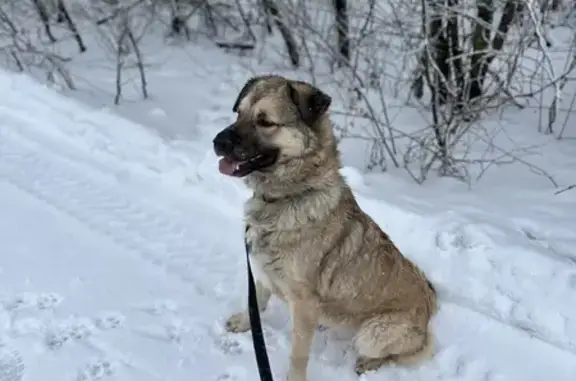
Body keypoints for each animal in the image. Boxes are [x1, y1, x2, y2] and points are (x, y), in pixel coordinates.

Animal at [213, 75, 436, 380]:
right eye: (239, 113)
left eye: (265, 121)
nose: (216, 142)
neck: (292, 195)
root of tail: (429, 305)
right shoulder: (263, 272)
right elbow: (256, 299)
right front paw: (246, 322)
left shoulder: (304, 303)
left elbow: (298, 353)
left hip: (372, 332)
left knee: (405, 353)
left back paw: (369, 363)